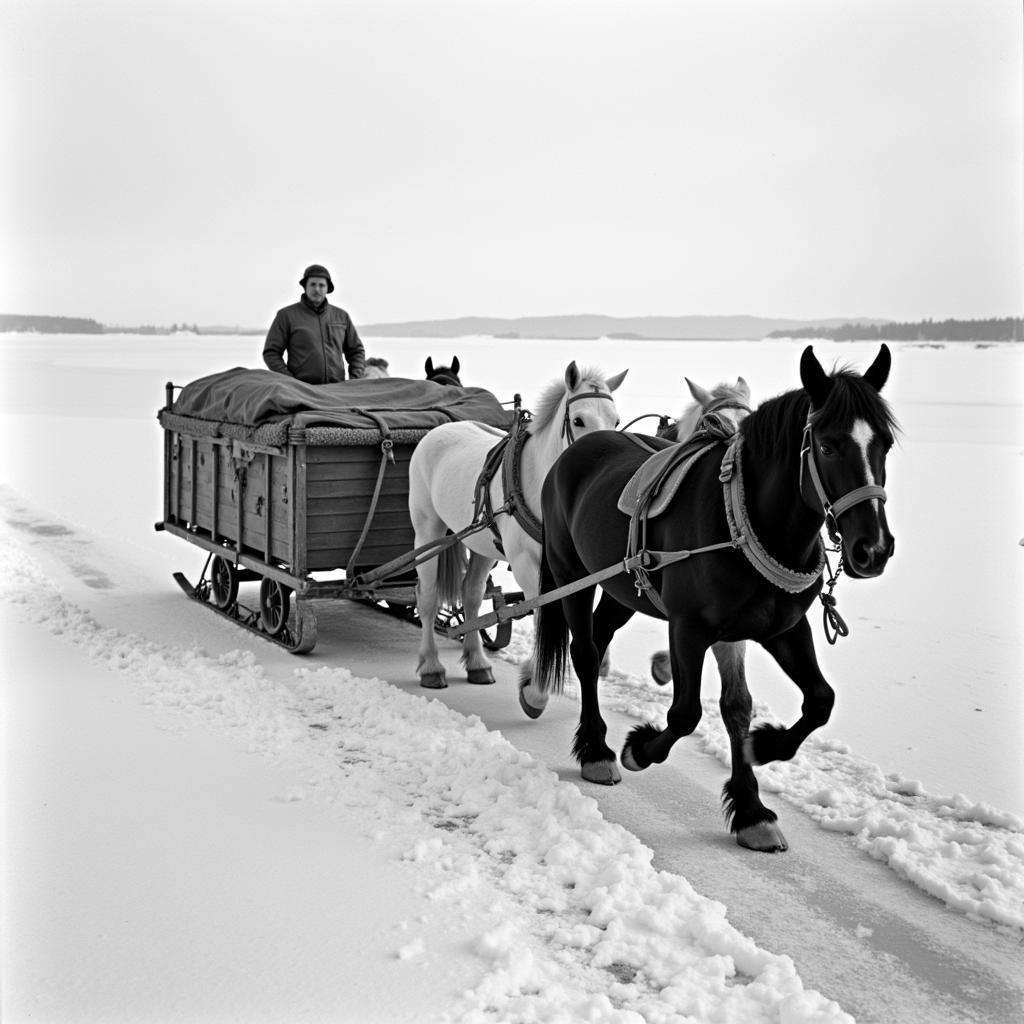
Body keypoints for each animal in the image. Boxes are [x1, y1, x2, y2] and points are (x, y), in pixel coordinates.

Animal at [405, 360, 622, 688]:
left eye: (616, 420)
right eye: (579, 420)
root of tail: (439, 428)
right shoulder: (525, 564)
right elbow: (545, 612)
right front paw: (537, 679)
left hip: (482, 543)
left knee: (471, 595)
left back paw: (477, 661)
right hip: (427, 531)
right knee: (428, 596)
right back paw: (431, 665)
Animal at [528, 348, 897, 851]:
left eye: (885, 444)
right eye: (827, 446)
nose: (872, 549)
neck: (743, 520)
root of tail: (576, 450)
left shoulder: (779, 628)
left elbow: (798, 701)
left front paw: (756, 784)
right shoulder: (689, 626)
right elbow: (685, 712)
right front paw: (639, 749)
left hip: (623, 589)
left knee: (599, 641)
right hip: (572, 575)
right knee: (583, 652)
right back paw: (596, 749)